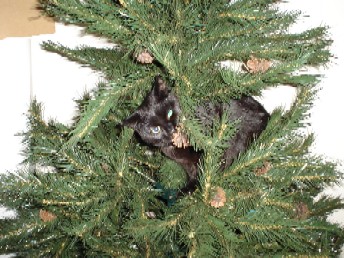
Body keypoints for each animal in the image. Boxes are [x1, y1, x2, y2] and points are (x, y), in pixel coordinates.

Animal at [122, 75, 270, 195]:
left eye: (169, 112)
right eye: (155, 129)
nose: (171, 129)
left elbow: (206, 170)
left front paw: (193, 189)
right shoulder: (186, 163)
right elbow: (193, 173)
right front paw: (187, 190)